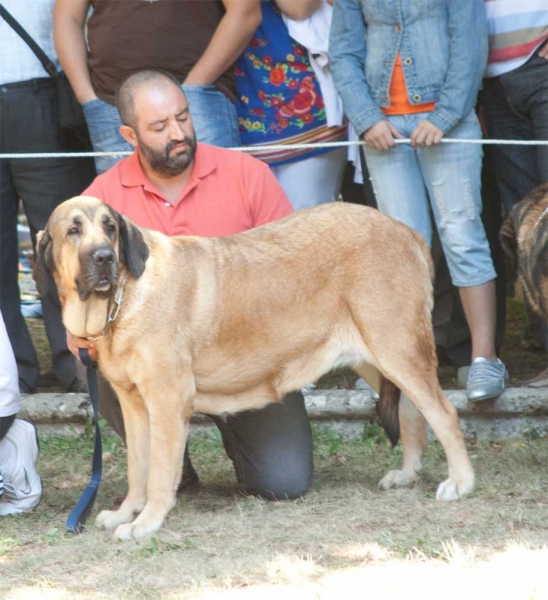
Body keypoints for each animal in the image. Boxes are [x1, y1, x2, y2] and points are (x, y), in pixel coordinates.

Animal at [35, 196, 476, 540]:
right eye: (73, 231)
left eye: (109, 228)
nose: (105, 257)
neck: (122, 299)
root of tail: (407, 232)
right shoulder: (134, 405)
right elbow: (137, 468)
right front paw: (127, 512)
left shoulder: (166, 400)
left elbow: (159, 471)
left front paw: (146, 523)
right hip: (374, 357)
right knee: (412, 412)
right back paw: (407, 474)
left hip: (398, 347)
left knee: (444, 413)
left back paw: (461, 482)